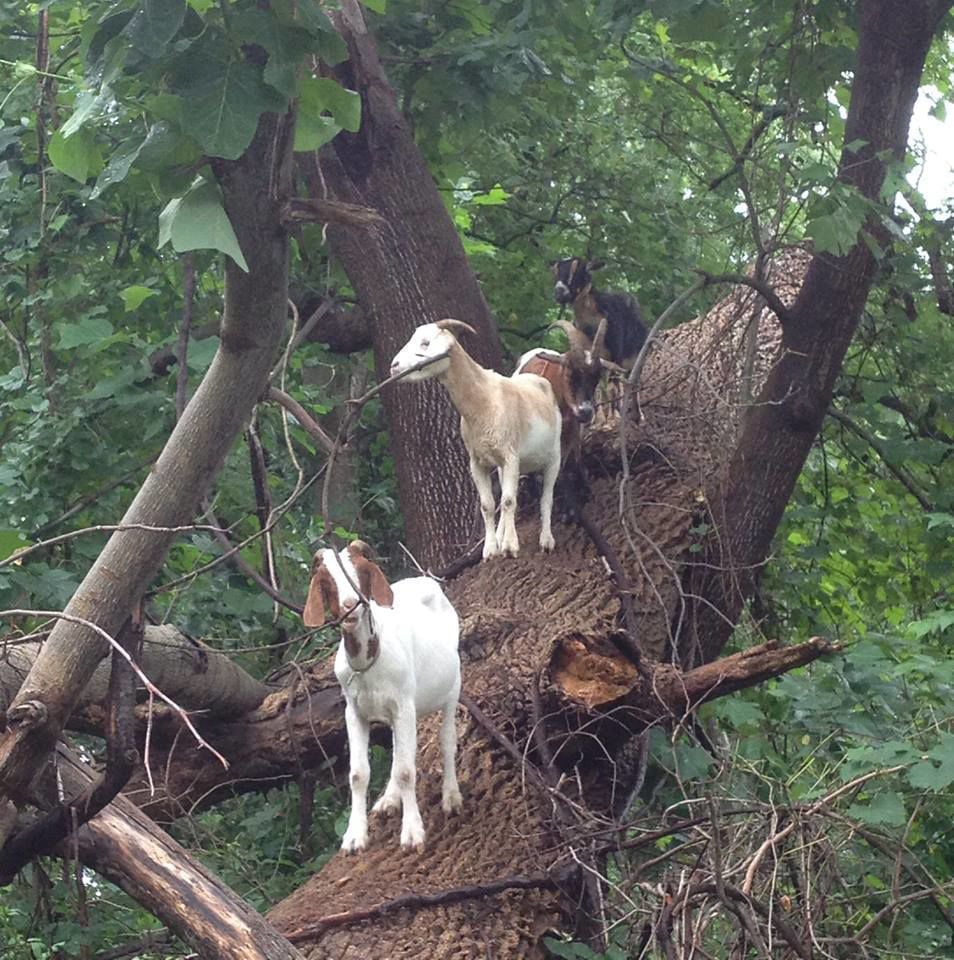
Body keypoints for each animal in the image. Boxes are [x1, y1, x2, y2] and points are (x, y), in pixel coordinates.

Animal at [303, 540, 462, 852]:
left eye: (362, 572)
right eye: (327, 580)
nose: (349, 605)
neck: (369, 662)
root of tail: (425, 581)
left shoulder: (404, 706)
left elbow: (406, 771)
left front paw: (412, 833)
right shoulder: (354, 712)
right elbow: (358, 773)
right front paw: (354, 836)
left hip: (453, 686)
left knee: (447, 739)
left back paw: (451, 797)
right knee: (398, 751)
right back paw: (389, 799)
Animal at [390, 319, 562, 560]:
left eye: (425, 342)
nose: (394, 365)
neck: (484, 399)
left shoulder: (510, 456)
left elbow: (509, 501)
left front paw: (510, 547)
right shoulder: (478, 462)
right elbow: (488, 505)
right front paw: (490, 549)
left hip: (554, 457)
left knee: (547, 498)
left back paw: (546, 541)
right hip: (502, 467)